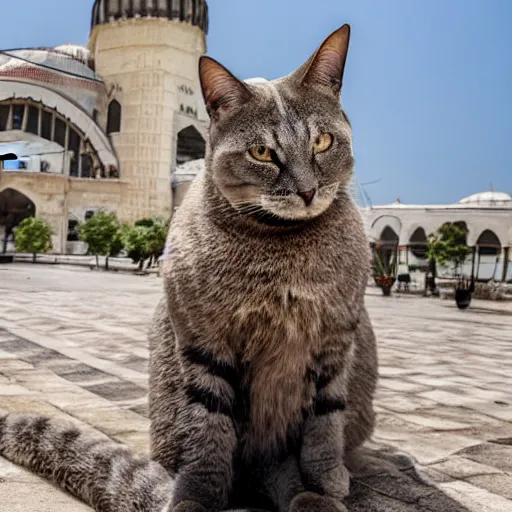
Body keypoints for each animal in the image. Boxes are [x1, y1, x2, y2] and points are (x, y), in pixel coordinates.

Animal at [0, 24, 378, 512]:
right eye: (262, 152)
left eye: (322, 143)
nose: (308, 190)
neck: (279, 246)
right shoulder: (203, 341)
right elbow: (207, 431)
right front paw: (196, 496)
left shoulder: (336, 337)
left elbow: (325, 419)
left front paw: (325, 479)